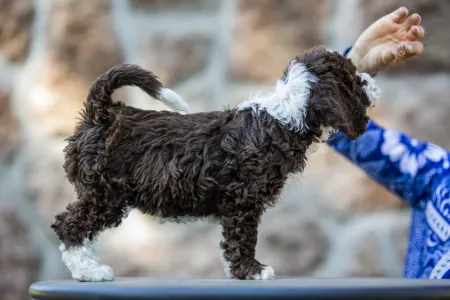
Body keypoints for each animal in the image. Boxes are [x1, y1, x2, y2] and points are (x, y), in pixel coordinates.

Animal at [50, 46, 380, 282]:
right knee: (69, 225)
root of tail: (102, 113)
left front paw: (237, 271)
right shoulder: (244, 200)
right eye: (351, 80)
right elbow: (243, 237)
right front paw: (252, 271)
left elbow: (232, 240)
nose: (371, 82)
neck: (282, 117)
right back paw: (89, 271)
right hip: (104, 194)